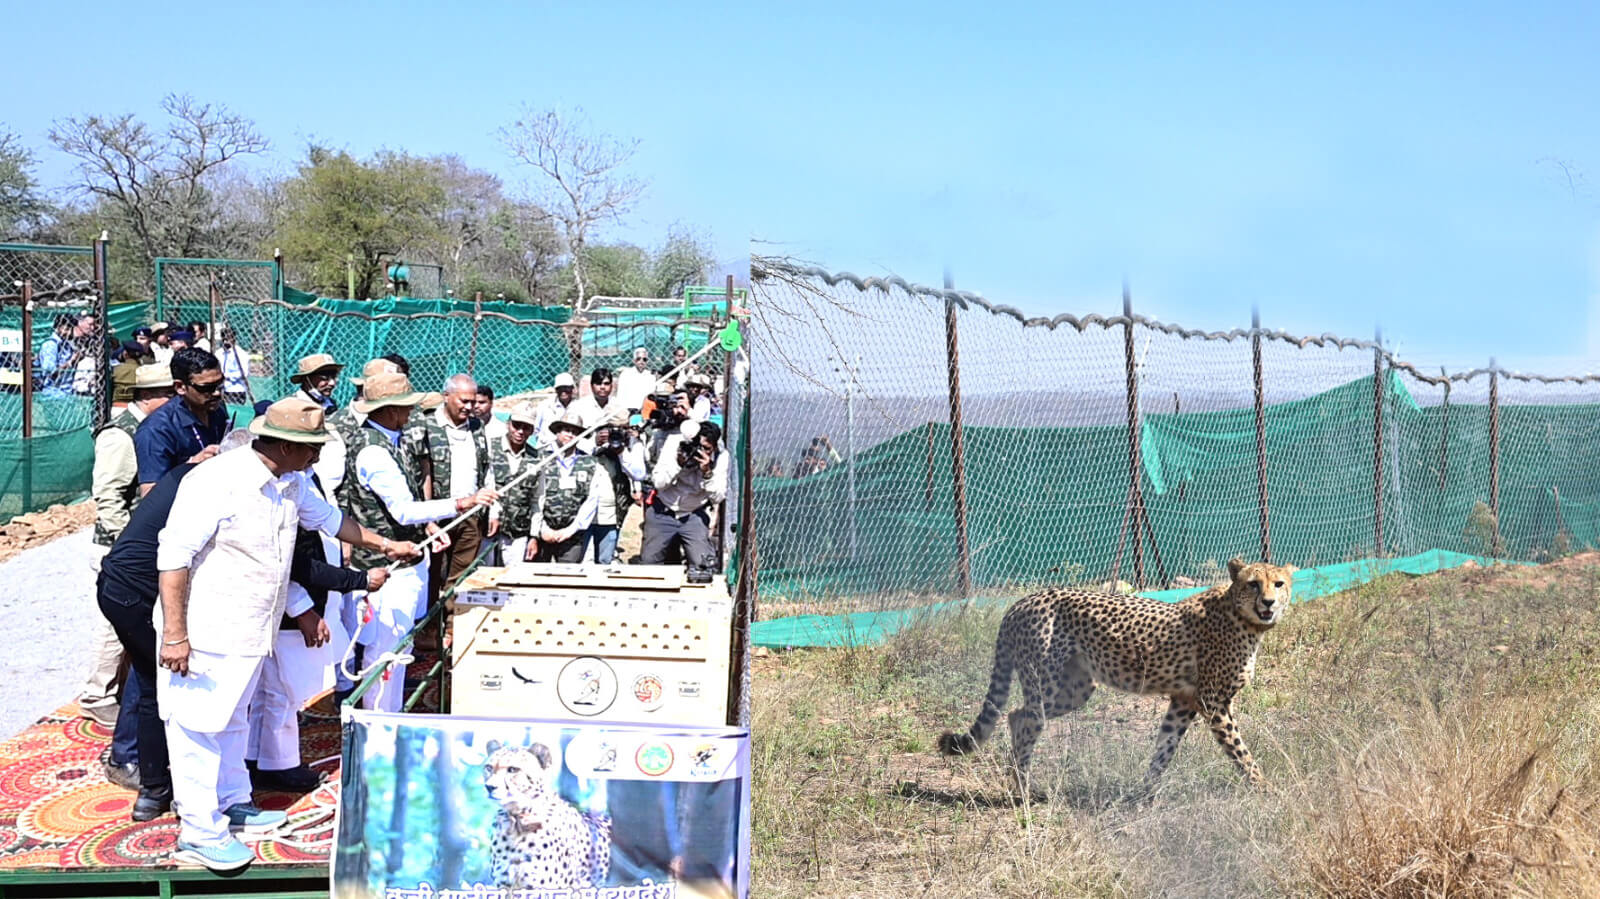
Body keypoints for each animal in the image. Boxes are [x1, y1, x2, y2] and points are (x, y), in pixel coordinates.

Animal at [940, 556, 1292, 787]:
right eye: (1253, 584)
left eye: (1279, 584)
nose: (1269, 602)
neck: (1243, 618)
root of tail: (1023, 600)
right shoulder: (1213, 702)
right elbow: (1240, 751)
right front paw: (1266, 790)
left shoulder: (1183, 701)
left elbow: (1164, 749)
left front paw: (1143, 795)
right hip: (1046, 683)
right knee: (1027, 720)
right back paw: (1022, 789)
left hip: (1076, 690)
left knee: (1016, 715)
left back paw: (1019, 781)